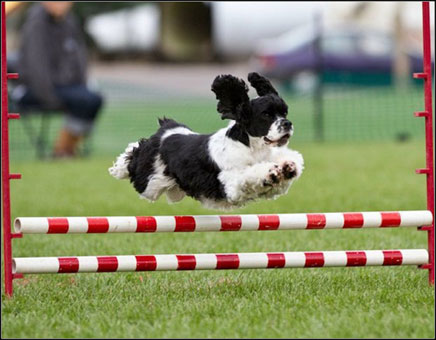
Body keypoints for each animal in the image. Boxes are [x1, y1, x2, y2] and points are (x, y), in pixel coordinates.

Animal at [109, 73, 304, 209]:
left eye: (284, 112)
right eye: (266, 115)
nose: (287, 123)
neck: (254, 147)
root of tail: (167, 128)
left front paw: (288, 167)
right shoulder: (231, 181)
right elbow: (250, 174)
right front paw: (271, 172)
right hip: (151, 181)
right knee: (135, 155)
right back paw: (118, 168)